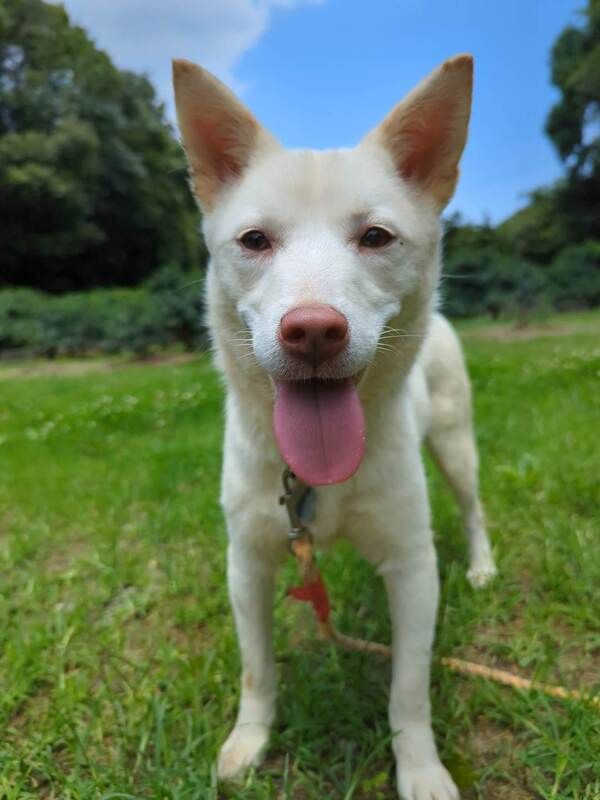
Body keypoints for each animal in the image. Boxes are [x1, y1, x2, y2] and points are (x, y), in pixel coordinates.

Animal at [173, 56, 496, 800]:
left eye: (375, 237)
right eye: (254, 241)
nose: (314, 331)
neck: (316, 477)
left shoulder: (411, 567)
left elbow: (409, 692)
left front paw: (421, 770)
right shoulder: (247, 563)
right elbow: (257, 669)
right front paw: (249, 742)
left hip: (455, 444)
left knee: (472, 508)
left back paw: (482, 565)